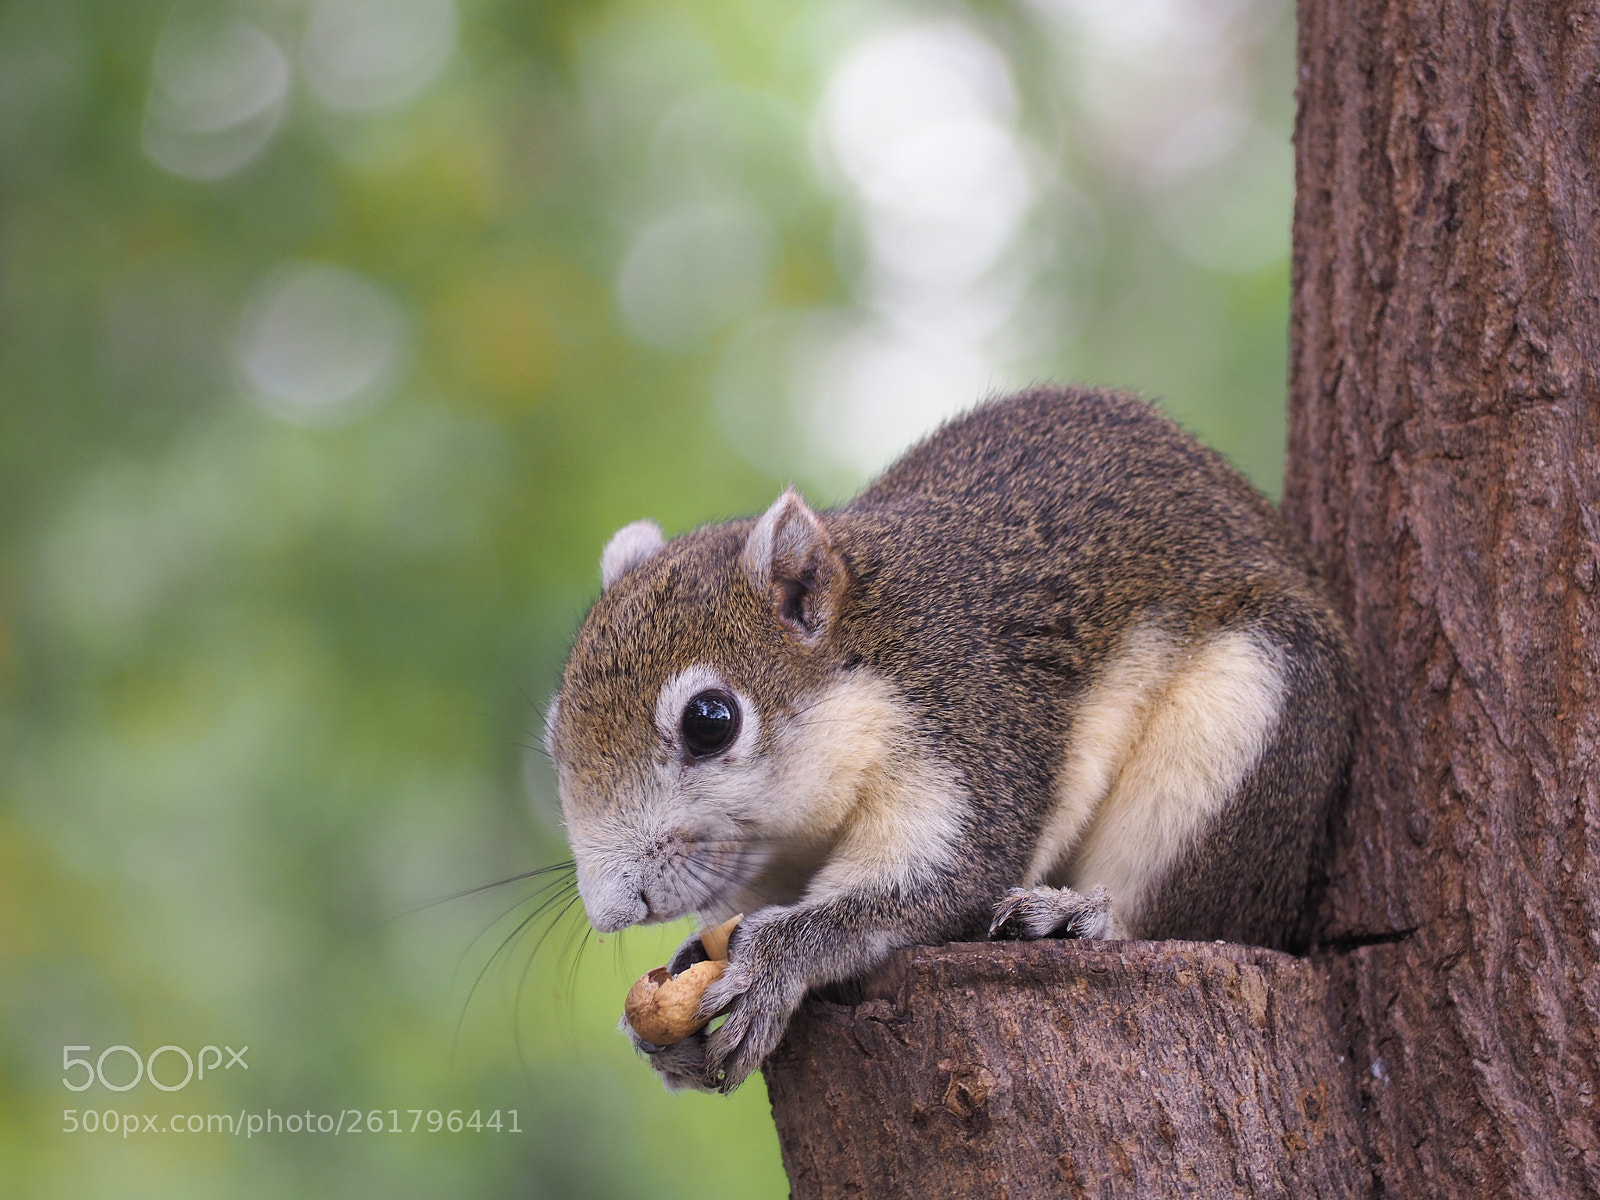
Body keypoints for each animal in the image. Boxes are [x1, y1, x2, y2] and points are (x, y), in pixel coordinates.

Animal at [544, 385, 1357, 1093]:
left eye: (711, 721)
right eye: (555, 737)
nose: (614, 910)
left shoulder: (973, 730)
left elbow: (934, 882)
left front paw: (770, 966)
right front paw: (670, 1018)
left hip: (1240, 723)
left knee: (1187, 914)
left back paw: (1080, 916)